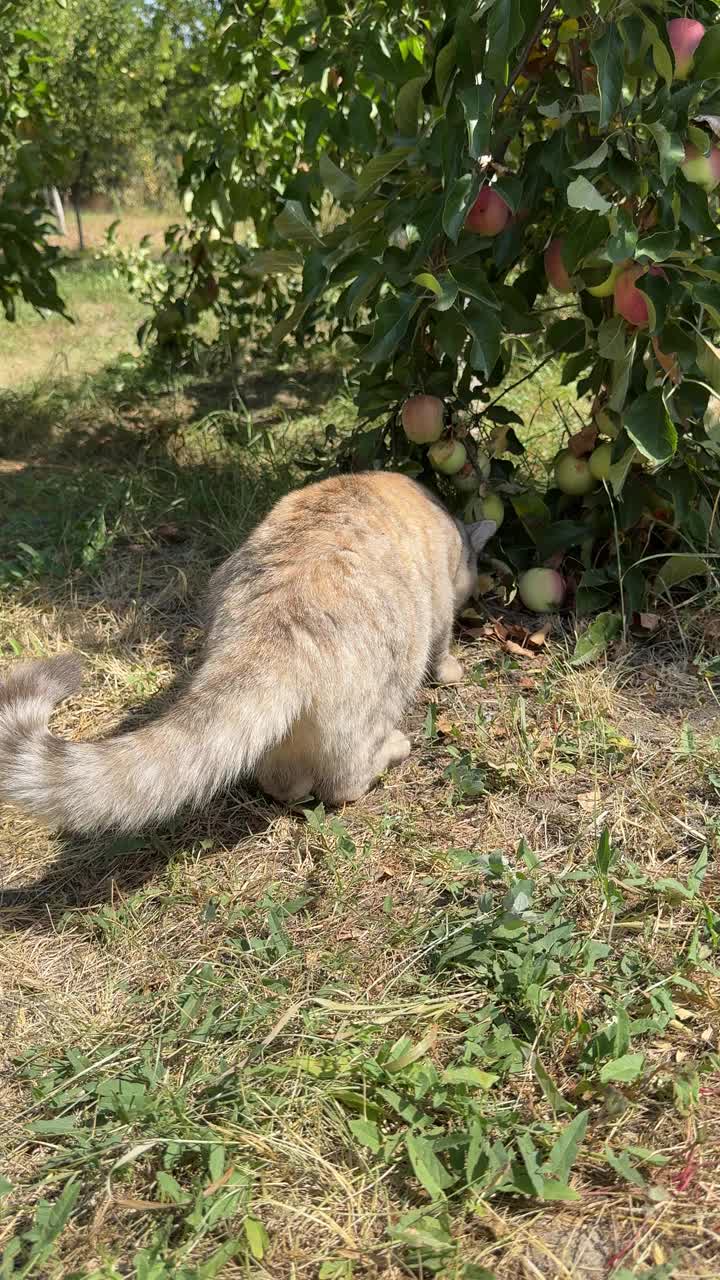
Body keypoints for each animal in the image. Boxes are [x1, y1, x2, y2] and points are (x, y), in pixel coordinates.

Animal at [0, 471, 491, 829]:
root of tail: (273, 623)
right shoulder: (441, 605)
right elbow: (443, 646)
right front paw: (451, 669)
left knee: (279, 779)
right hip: (383, 690)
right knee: (343, 782)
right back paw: (391, 750)